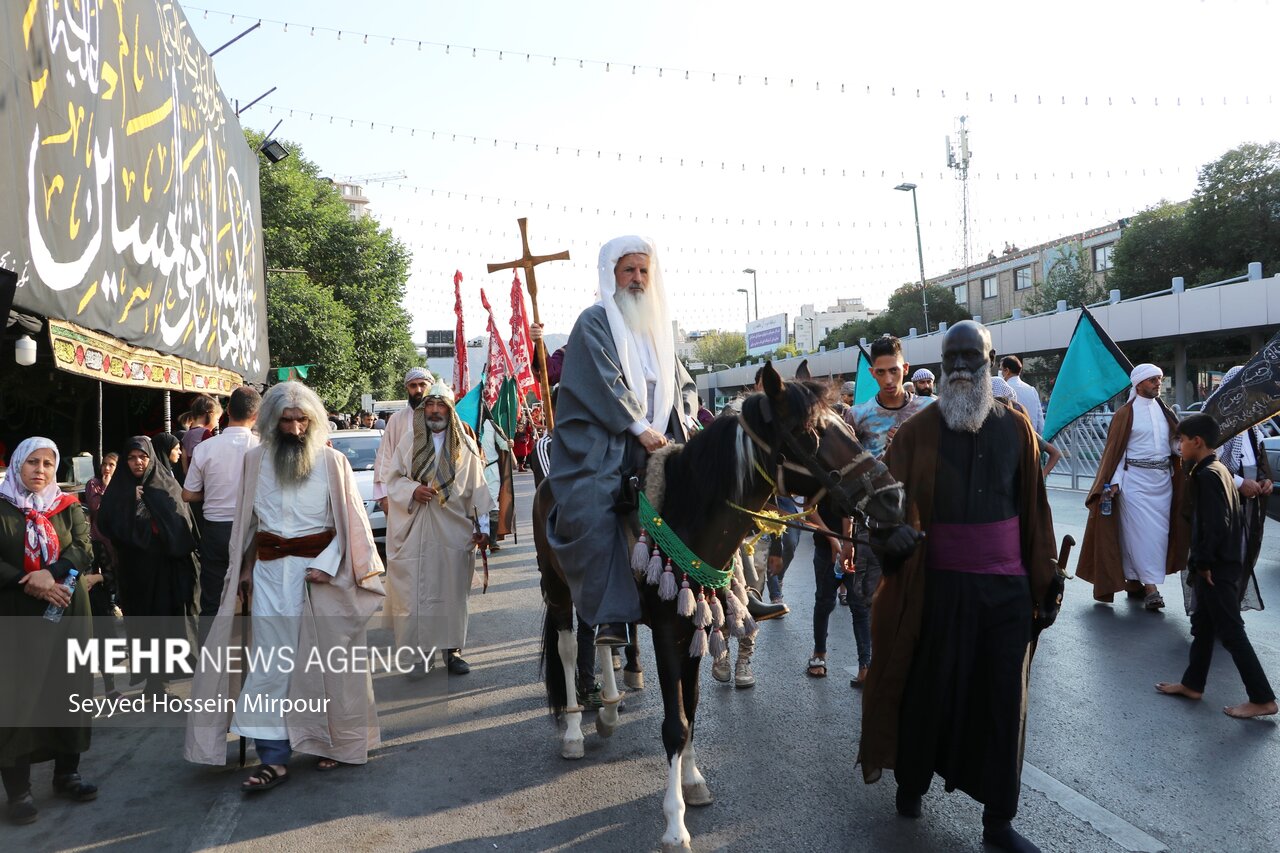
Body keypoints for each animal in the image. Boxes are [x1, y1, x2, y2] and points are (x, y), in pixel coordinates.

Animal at [527, 361, 901, 850]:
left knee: (604, 636)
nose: (892, 496)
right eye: (811, 432)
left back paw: (607, 709)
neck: (687, 513)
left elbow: (692, 709)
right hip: (559, 584)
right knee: (572, 648)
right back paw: (574, 729)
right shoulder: (667, 631)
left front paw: (693, 781)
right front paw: (674, 824)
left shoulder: (694, 627)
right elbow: (675, 723)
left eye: (847, 423)